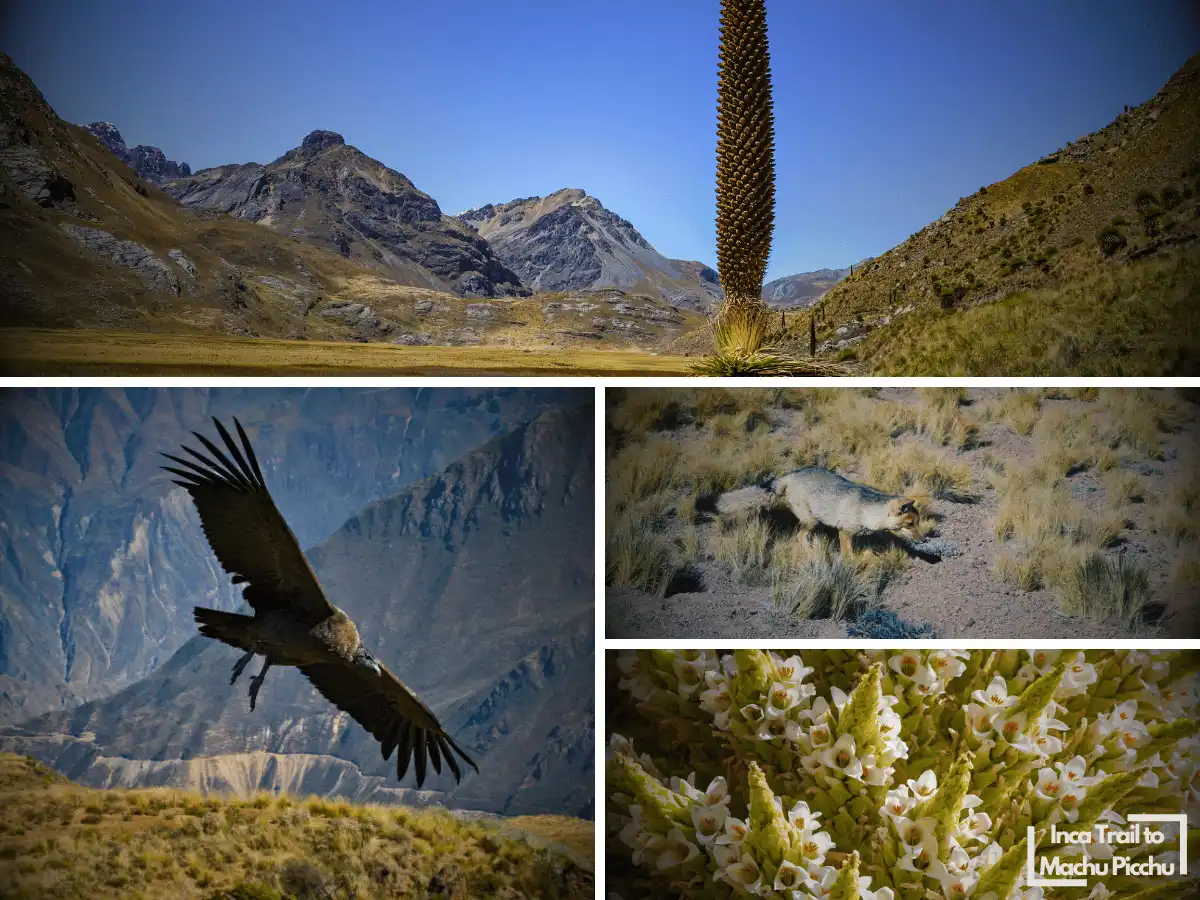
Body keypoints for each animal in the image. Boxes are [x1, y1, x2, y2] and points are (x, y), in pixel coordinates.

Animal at [715, 466, 921, 554]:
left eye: (918, 523)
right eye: (910, 524)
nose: (923, 539)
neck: (867, 511)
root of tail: (789, 475)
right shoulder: (844, 532)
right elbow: (848, 555)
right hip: (811, 520)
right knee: (799, 537)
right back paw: (812, 553)